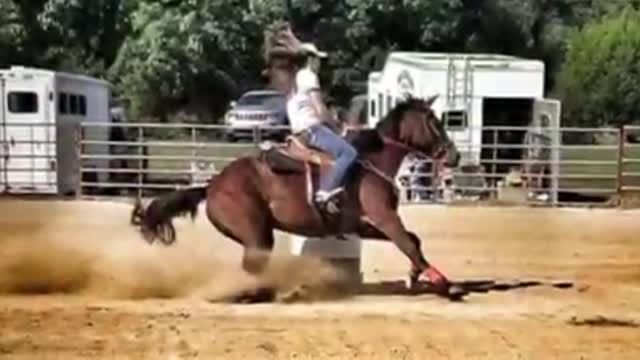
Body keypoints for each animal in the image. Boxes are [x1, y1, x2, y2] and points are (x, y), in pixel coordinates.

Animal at [130, 95, 464, 298]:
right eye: (434, 122)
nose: (455, 156)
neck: (371, 162)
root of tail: (211, 186)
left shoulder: (365, 224)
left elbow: (413, 241)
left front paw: (414, 276)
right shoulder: (384, 217)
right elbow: (409, 243)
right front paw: (443, 283)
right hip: (256, 234)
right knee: (252, 267)